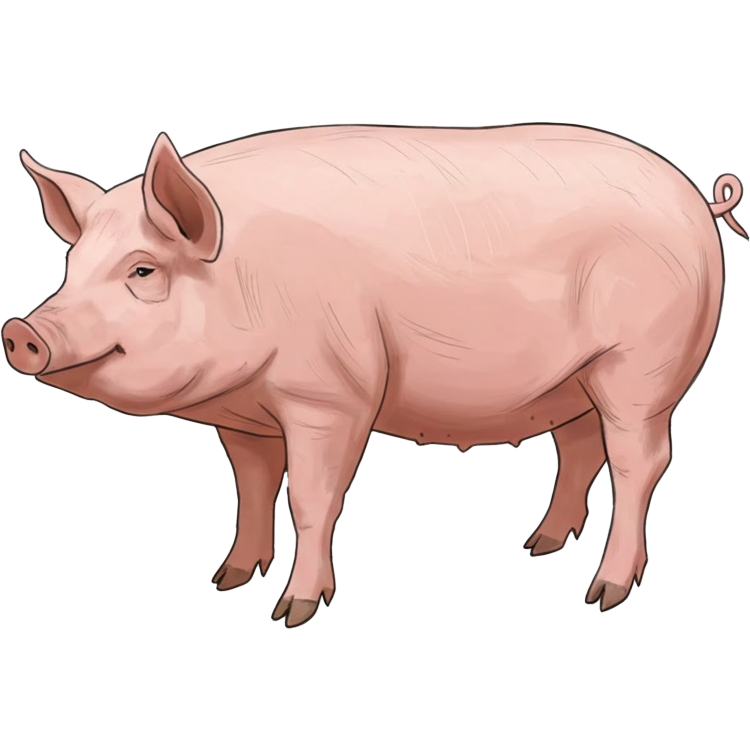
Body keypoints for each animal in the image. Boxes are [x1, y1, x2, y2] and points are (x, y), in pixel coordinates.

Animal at [3, 124, 746, 627]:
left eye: (142, 269)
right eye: (71, 267)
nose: (21, 331)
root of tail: (699, 200)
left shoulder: (330, 396)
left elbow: (311, 499)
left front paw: (293, 611)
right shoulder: (244, 416)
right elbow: (252, 487)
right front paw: (227, 580)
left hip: (640, 367)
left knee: (640, 461)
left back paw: (603, 594)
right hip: (575, 381)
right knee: (581, 448)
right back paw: (538, 546)